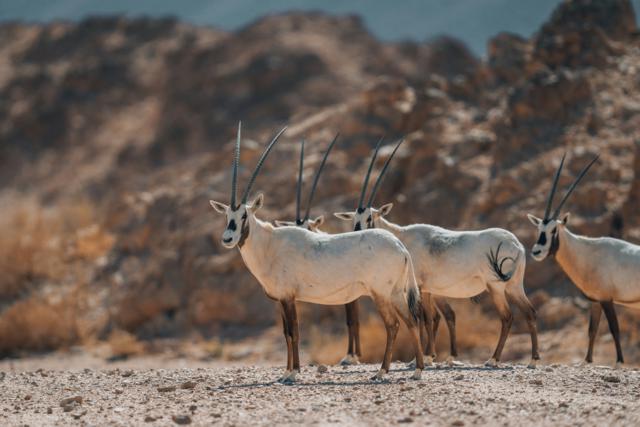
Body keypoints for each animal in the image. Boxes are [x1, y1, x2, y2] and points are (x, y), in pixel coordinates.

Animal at [209, 123, 425, 382]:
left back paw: (381, 372)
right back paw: (418, 371)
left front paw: (292, 374)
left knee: (393, 325)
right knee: (411, 321)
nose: (227, 238)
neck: (270, 244)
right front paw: (287, 372)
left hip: (381, 293)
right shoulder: (281, 300)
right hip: (395, 293)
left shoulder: (289, 297)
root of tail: (400, 247)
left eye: (244, 215)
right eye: (226, 215)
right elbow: (286, 333)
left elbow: (294, 332)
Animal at [335, 139, 541, 368]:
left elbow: (424, 319)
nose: (357, 234)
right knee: (529, 312)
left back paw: (493, 359)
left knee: (507, 317)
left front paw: (425, 358)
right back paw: (533, 360)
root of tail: (517, 245)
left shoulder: (420, 287)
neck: (401, 236)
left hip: (495, 287)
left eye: (370, 217)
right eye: (355, 219)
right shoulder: (427, 289)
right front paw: (427, 357)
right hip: (514, 286)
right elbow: (429, 318)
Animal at [527, 153, 636, 367]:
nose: (536, 251)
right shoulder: (595, 301)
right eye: (539, 229)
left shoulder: (607, 299)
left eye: (554, 230)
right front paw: (587, 361)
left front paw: (619, 363)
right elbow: (592, 330)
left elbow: (614, 328)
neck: (588, 251)